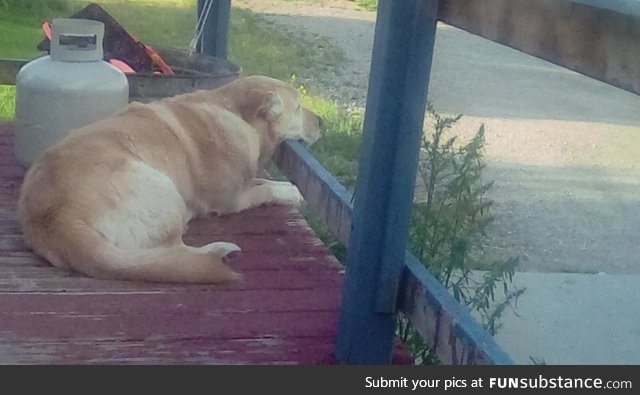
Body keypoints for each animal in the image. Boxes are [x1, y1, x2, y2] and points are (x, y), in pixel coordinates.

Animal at [16, 75, 320, 284]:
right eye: (298, 107)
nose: (322, 122)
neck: (235, 113)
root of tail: (58, 218)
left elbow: (266, 182)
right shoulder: (232, 198)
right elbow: (267, 189)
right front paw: (293, 193)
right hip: (166, 189)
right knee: (176, 251)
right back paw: (221, 251)